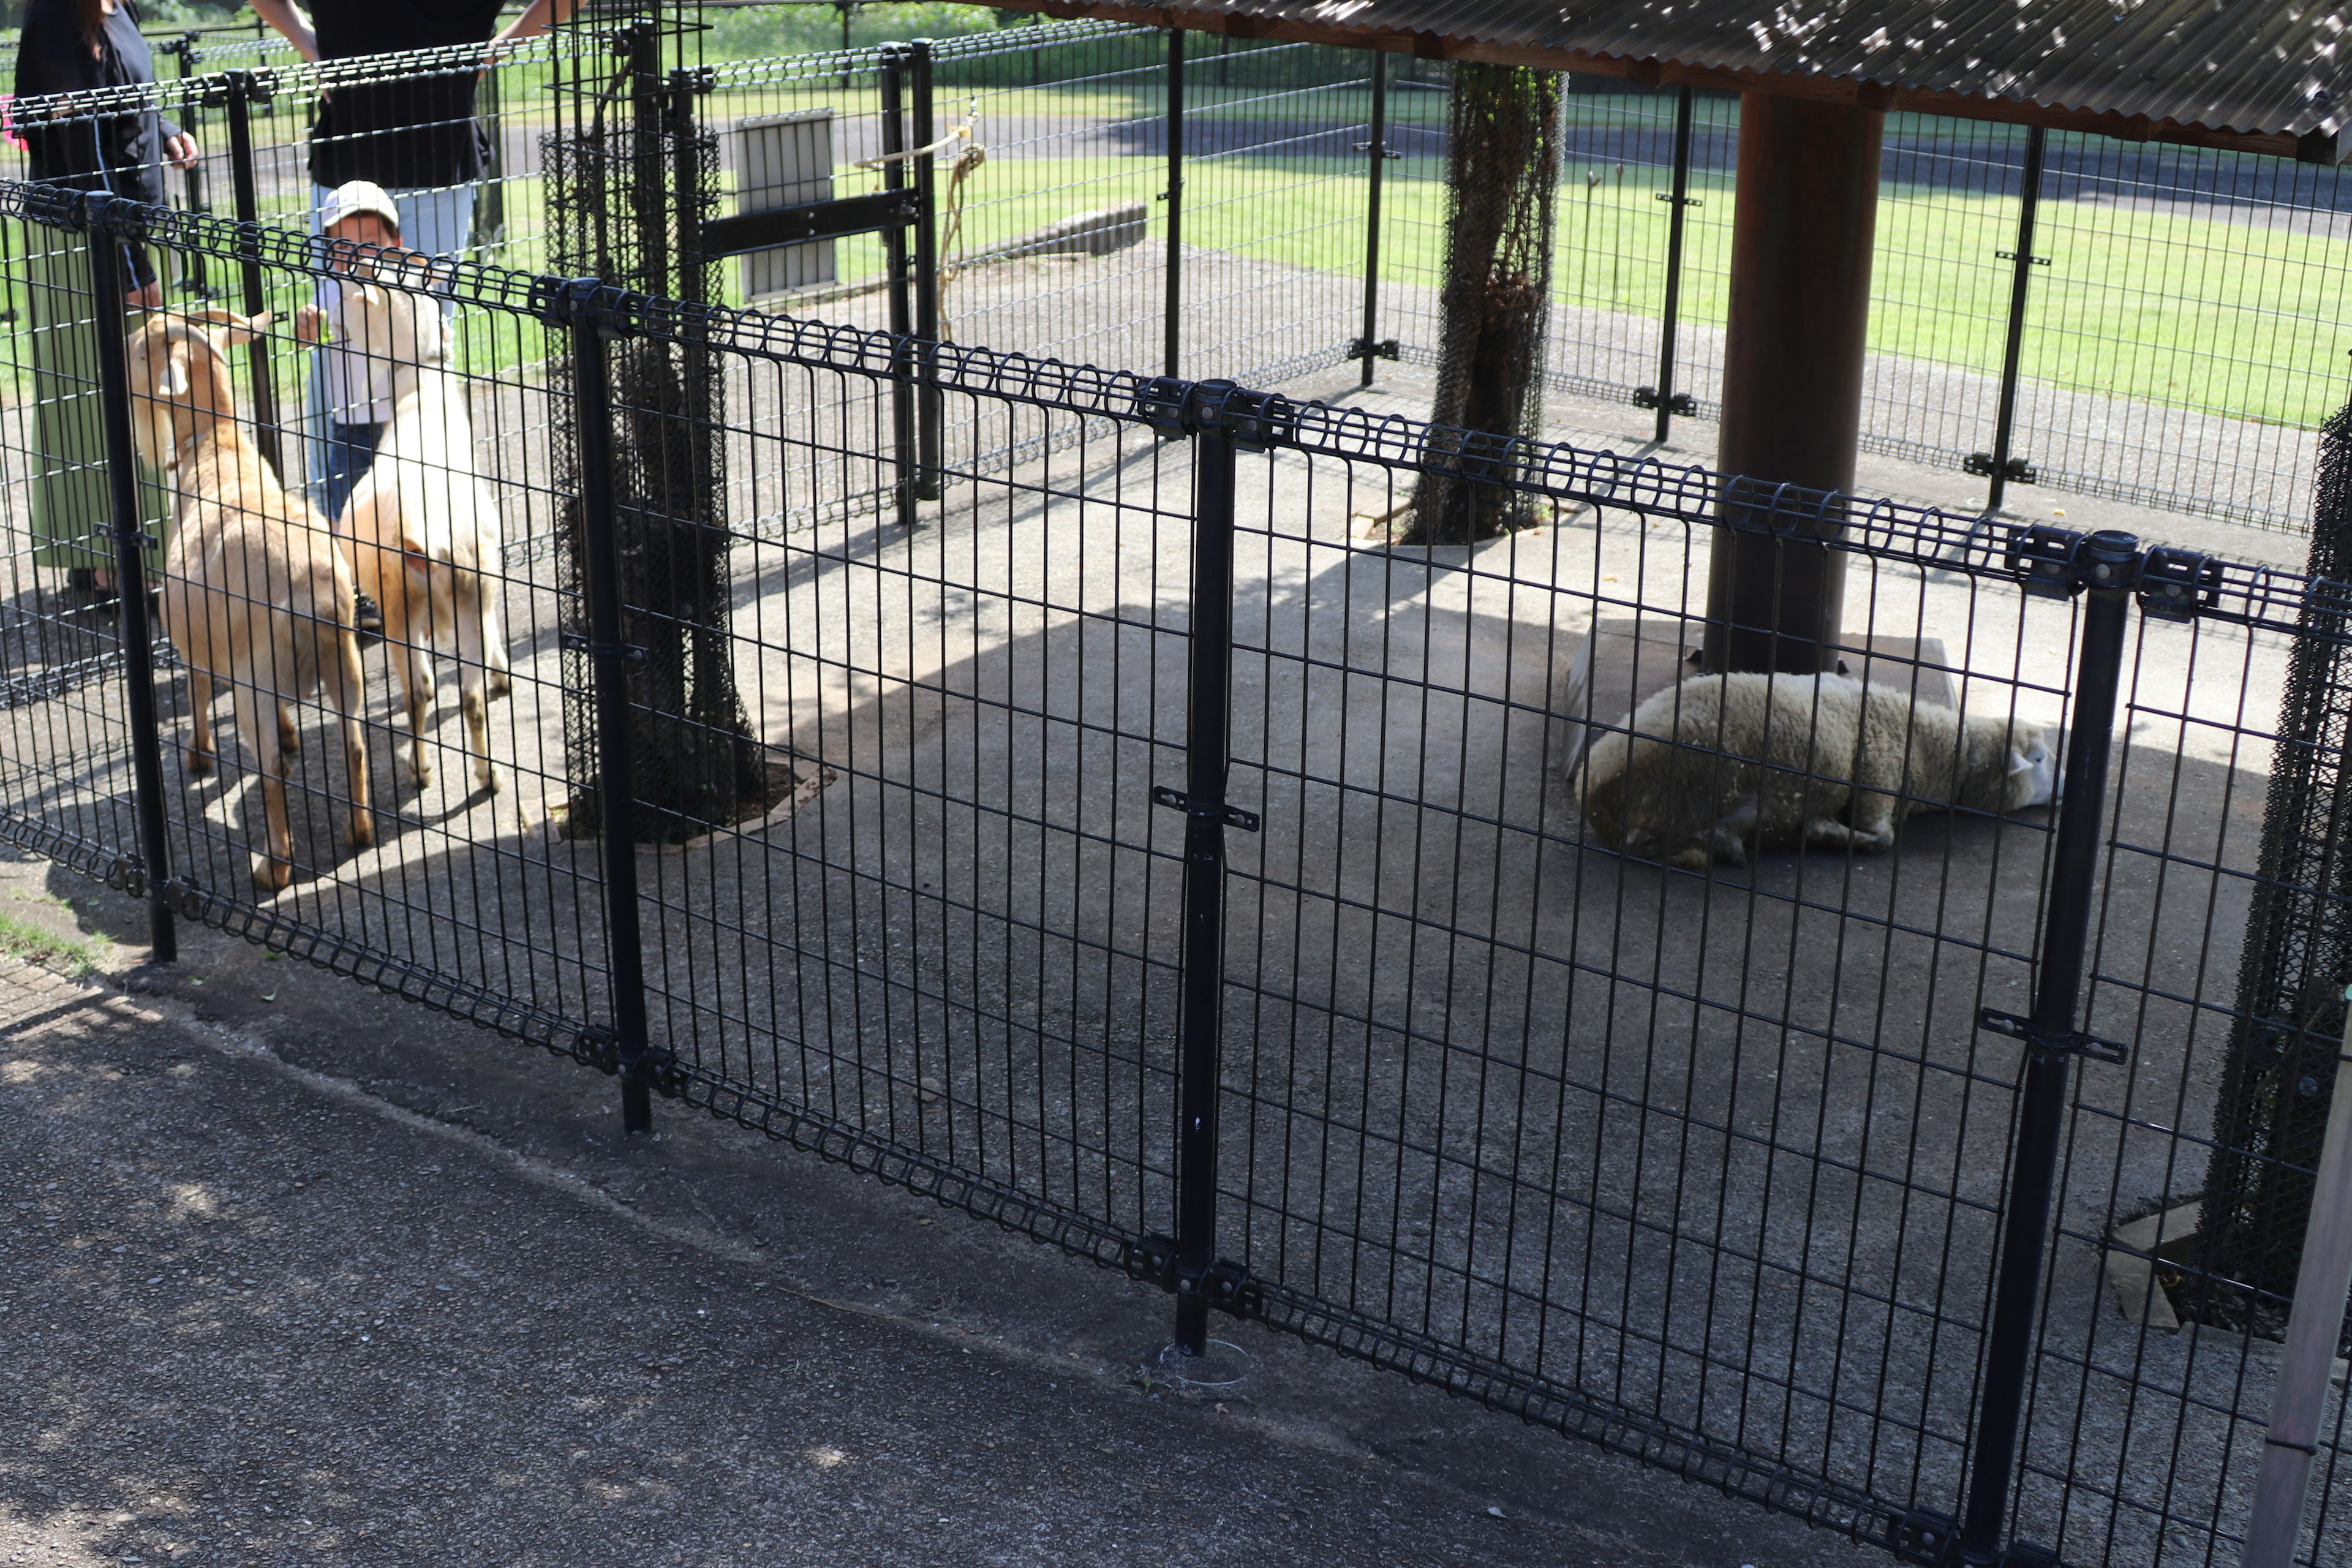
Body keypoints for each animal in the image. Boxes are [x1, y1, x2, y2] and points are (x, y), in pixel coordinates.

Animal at [131, 310, 371, 893]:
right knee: (353, 744)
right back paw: (359, 831)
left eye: (141, 351)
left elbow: (196, 688)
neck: (217, 452)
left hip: (252, 683)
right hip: (345, 664)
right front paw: (289, 733)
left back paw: (272, 868)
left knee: (270, 774)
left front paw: (198, 757)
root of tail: (313, 596)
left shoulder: (199, 640)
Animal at [1580, 672, 2060, 879]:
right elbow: (1882, 839)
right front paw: (1832, 836)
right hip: (1695, 782)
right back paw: (1727, 846)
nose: (2062, 789)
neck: (1929, 749)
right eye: (2038, 759)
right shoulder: (1876, 779)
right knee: (1656, 842)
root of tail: (1595, 796)